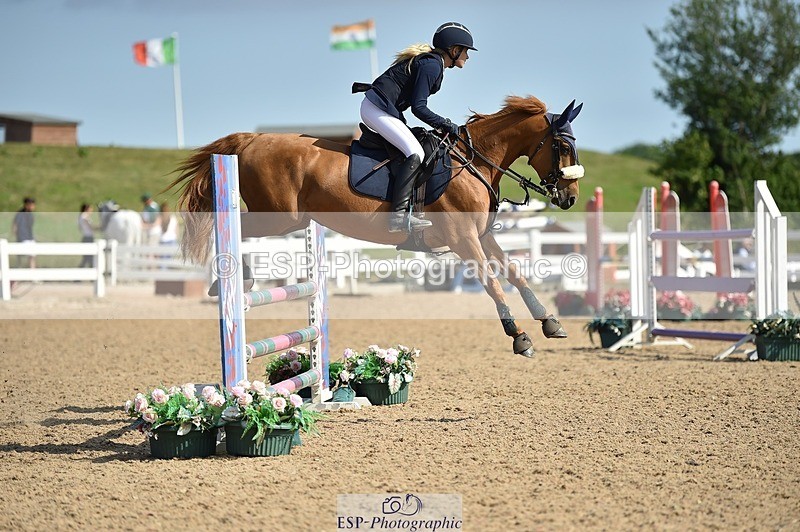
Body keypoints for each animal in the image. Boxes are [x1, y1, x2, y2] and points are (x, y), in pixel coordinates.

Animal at [170, 95, 584, 358]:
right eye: (563, 147)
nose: (570, 197)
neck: (475, 162)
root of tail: (252, 139)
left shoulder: (480, 236)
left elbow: (516, 274)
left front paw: (549, 322)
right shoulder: (463, 238)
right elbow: (493, 282)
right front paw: (520, 337)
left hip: (296, 218)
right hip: (278, 215)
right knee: (232, 227)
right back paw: (230, 280)